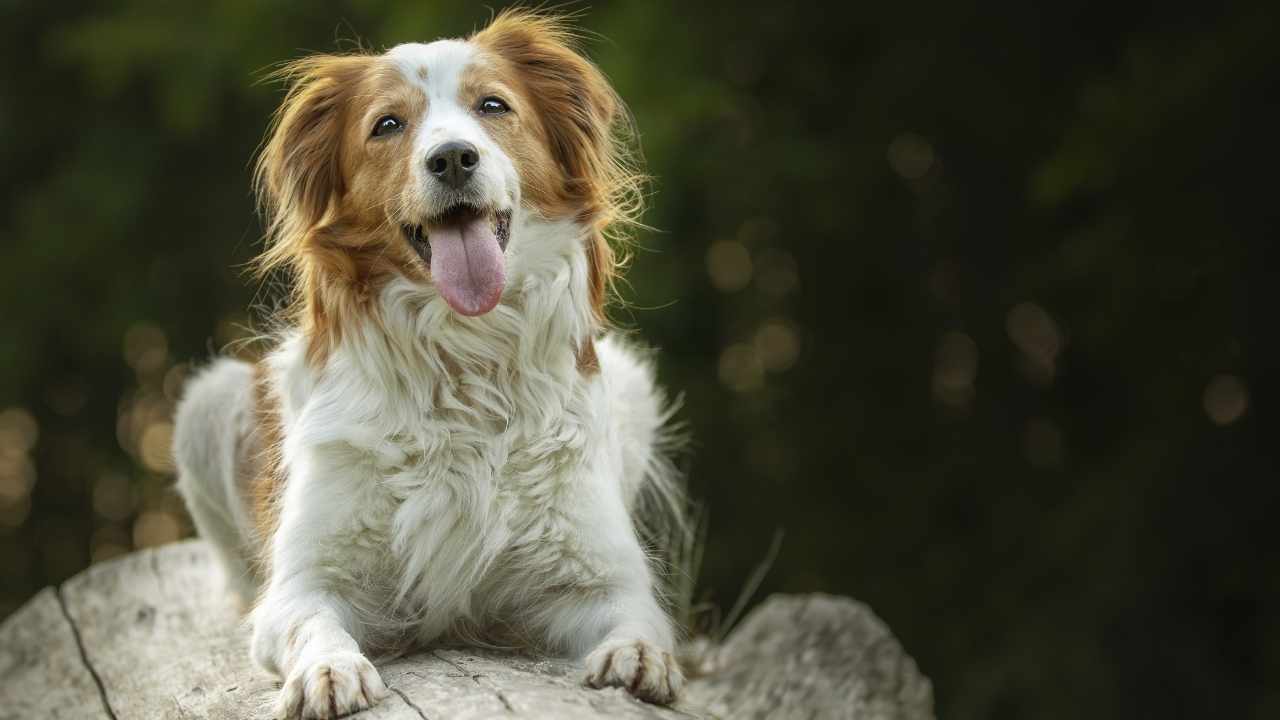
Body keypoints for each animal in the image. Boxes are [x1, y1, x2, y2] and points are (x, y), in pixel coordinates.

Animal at [174, 9, 691, 712]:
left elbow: (639, 615)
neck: (462, 360)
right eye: (388, 124)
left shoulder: (596, 573)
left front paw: (639, 656)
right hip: (204, 403)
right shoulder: (304, 583)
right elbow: (314, 623)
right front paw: (329, 670)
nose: (452, 157)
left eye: (493, 105)